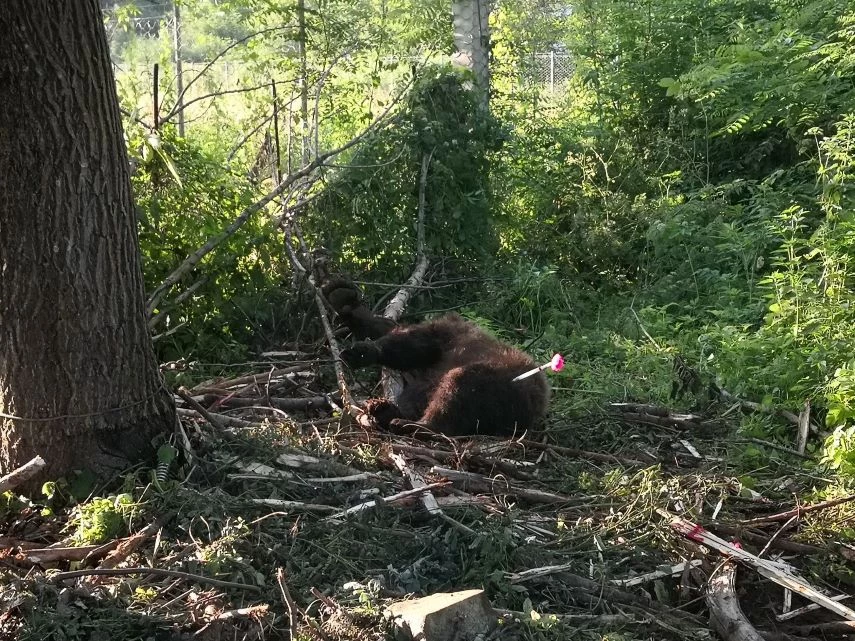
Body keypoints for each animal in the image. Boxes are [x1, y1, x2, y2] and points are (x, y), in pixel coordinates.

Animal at [324, 278, 552, 436]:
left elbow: (407, 344)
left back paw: (414, 424)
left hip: (503, 383)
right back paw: (385, 410)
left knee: (459, 387)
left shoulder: (444, 339)